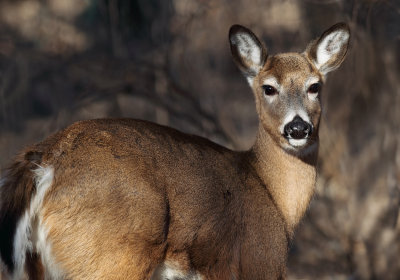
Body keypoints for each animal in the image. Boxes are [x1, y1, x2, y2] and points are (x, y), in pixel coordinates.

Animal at [0, 23, 350, 278]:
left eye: (314, 86)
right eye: (268, 88)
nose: (298, 128)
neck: (275, 199)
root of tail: (44, 164)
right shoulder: (258, 264)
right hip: (110, 260)